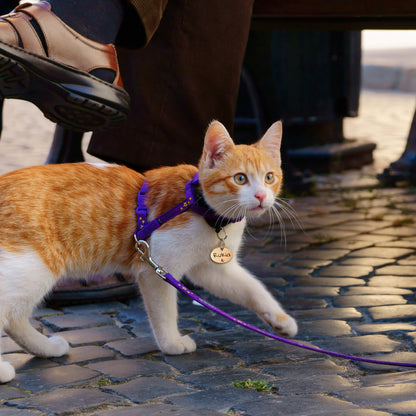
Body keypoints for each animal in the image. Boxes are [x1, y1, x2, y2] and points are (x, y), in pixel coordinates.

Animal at [0, 118, 300, 382]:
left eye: (269, 177)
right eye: (240, 179)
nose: (261, 196)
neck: (202, 207)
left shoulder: (211, 269)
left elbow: (252, 288)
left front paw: (281, 321)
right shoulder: (157, 268)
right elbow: (165, 311)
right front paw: (172, 343)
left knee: (15, 317)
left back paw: (46, 348)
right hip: (33, 267)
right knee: (9, 311)